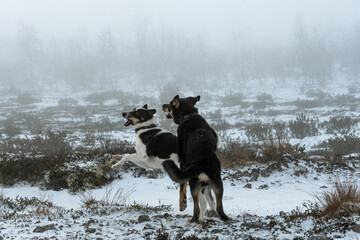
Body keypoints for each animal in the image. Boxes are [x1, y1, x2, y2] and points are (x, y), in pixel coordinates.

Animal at [162, 94, 231, 222]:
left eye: (169, 104)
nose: (163, 105)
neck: (188, 116)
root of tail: (202, 162)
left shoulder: (182, 161)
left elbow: (182, 187)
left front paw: (182, 204)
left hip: (193, 183)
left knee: (197, 208)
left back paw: (193, 219)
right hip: (218, 184)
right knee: (219, 208)